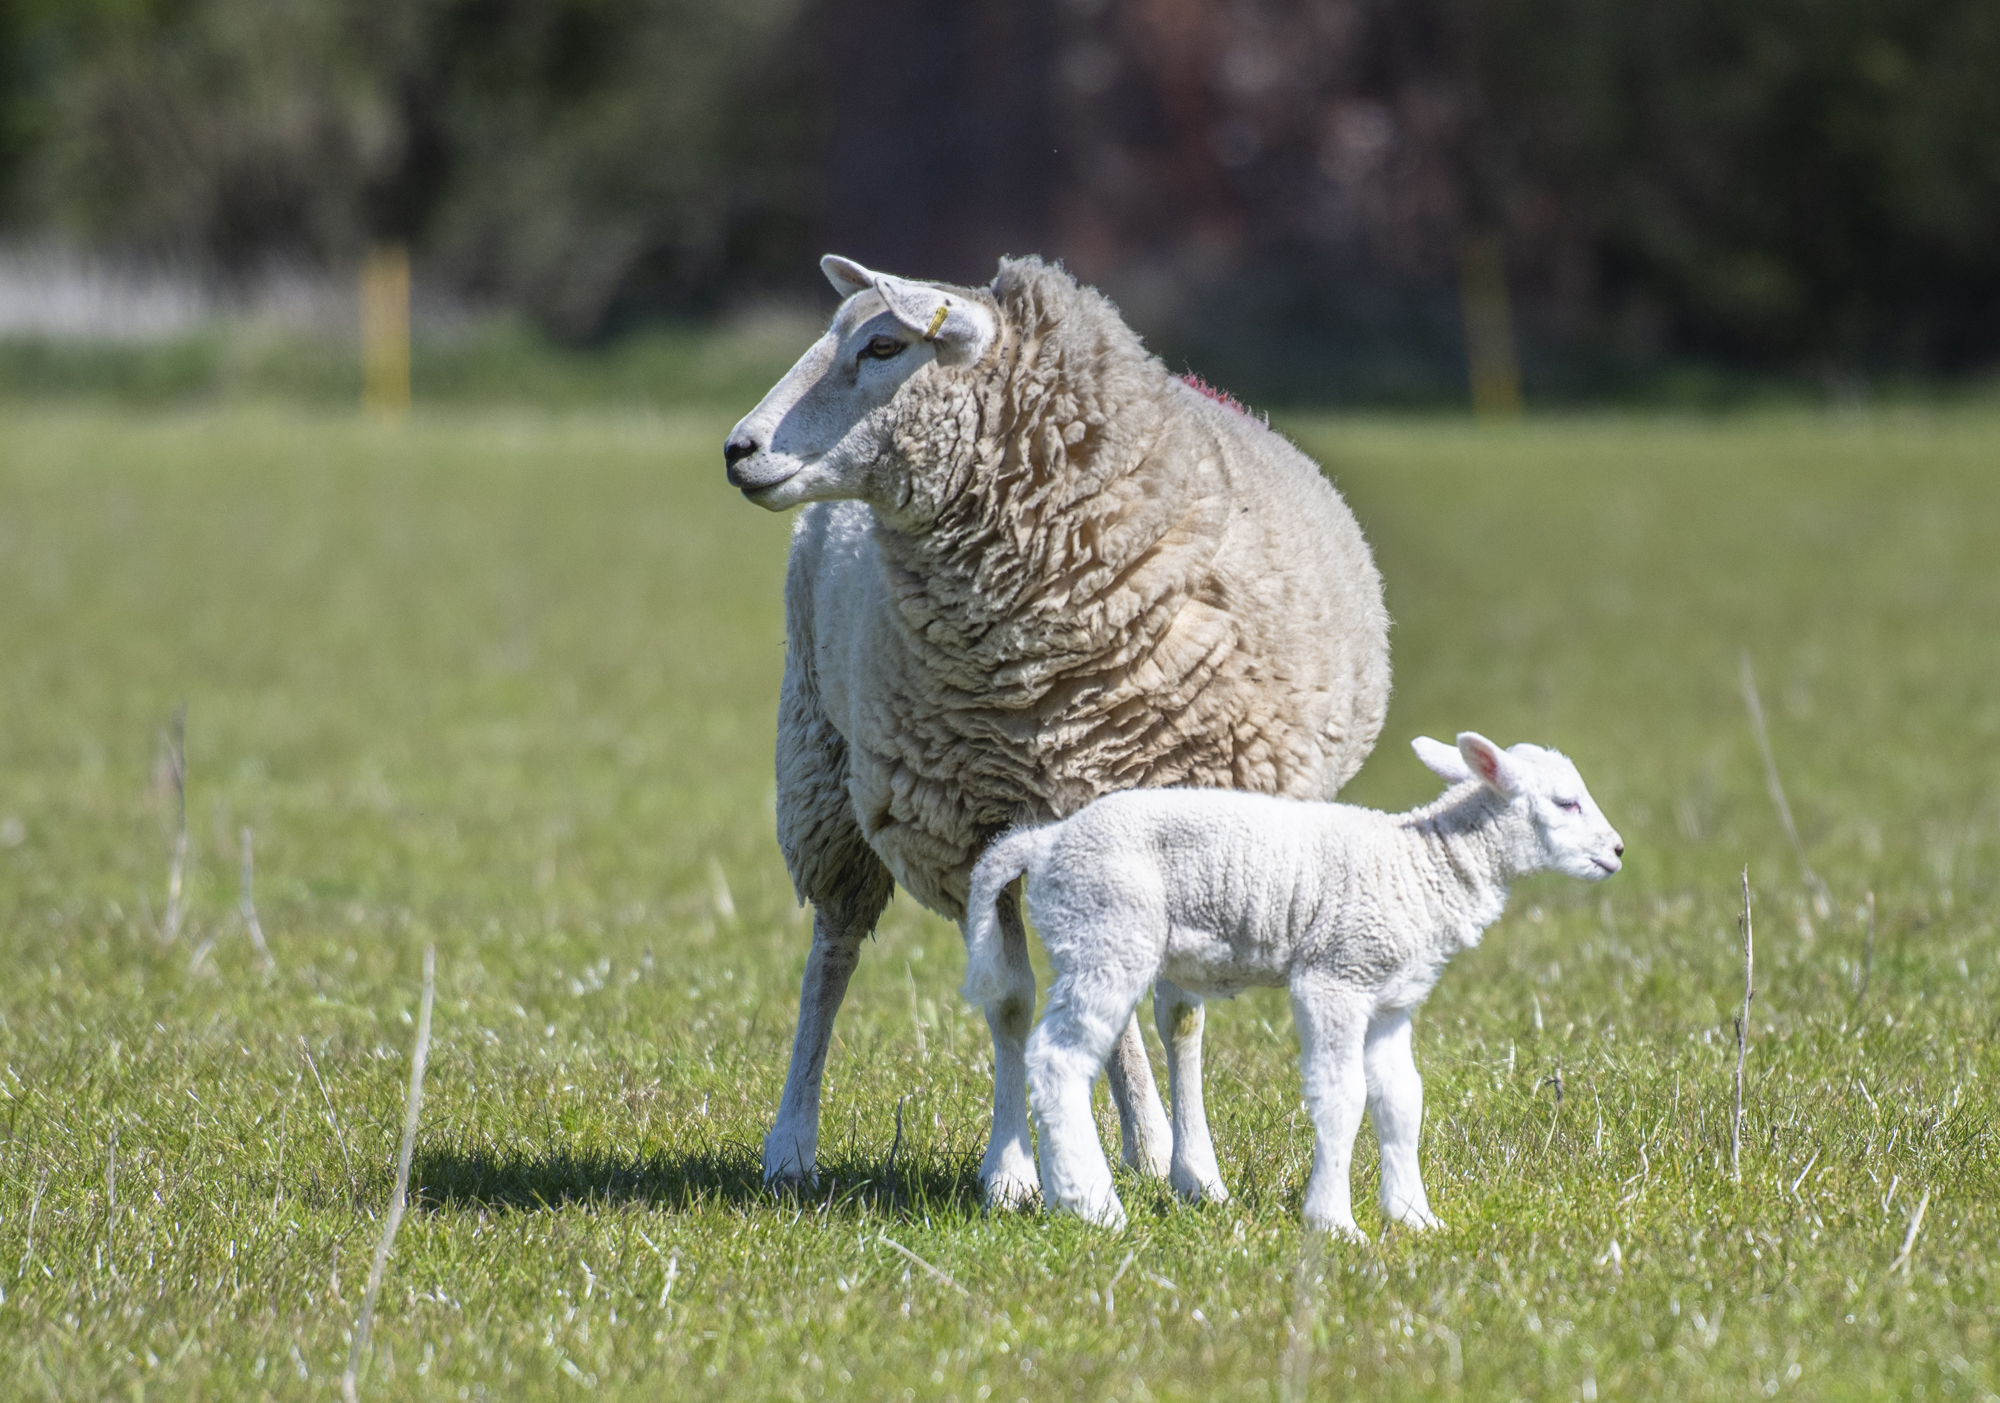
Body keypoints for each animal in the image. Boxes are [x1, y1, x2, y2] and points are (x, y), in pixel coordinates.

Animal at [724, 252, 1392, 1207]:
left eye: (885, 345)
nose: (738, 450)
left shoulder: (1193, 816)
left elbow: (1178, 1009)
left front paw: (1194, 1172)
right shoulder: (975, 827)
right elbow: (1008, 998)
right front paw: (1011, 1174)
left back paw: (1147, 1145)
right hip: (819, 766)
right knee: (833, 954)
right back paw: (792, 1144)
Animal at [956, 731, 1624, 1239]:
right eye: (1567, 803)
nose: (1618, 851)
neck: (1423, 864)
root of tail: (1044, 842)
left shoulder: (1390, 999)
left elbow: (1400, 1101)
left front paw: (1414, 1217)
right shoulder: (1337, 977)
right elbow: (1342, 1096)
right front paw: (1335, 1223)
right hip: (1106, 932)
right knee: (1058, 1058)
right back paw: (1094, 1208)